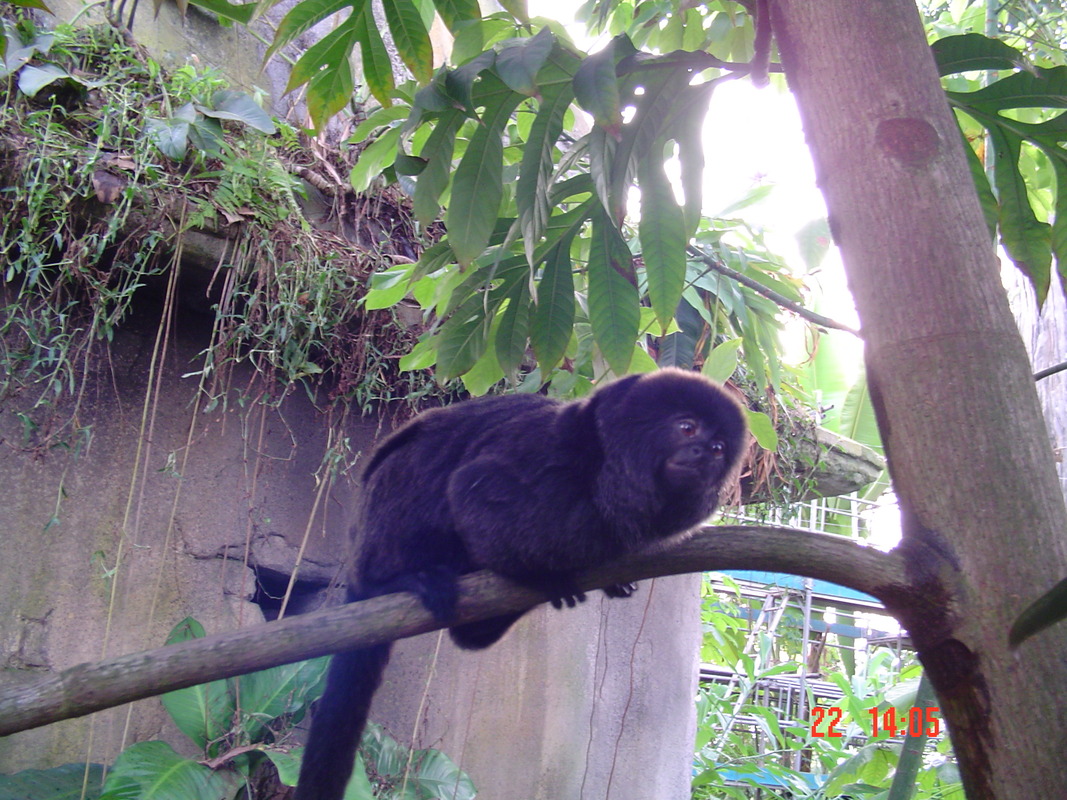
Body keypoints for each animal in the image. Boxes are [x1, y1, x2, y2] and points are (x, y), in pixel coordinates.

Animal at [294, 368, 747, 800]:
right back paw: (400, 579)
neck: (601, 471)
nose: (702, 454)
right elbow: (472, 492)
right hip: (380, 525)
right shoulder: (541, 455)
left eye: (719, 448)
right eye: (687, 428)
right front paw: (547, 578)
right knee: (421, 474)